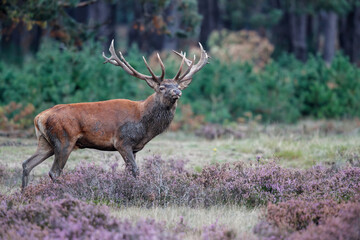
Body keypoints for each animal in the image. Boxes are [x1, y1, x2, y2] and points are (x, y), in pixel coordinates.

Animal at [21, 39, 208, 191]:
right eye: (162, 87)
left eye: (178, 86)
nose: (177, 92)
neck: (145, 125)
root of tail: (39, 117)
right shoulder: (122, 141)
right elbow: (135, 170)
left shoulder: (134, 147)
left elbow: (129, 171)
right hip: (64, 140)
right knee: (54, 172)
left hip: (45, 142)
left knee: (27, 164)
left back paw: (23, 194)